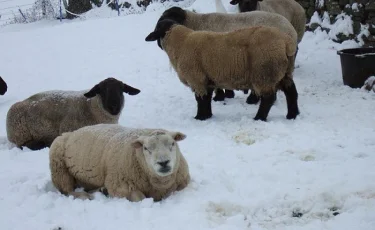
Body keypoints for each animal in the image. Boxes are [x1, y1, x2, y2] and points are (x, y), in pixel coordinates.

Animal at [5, 77, 141, 151]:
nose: (114, 107)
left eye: (121, 89)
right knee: (28, 145)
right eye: (101, 90)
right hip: (21, 136)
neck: (91, 107)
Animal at [49, 124, 191, 201]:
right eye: (146, 148)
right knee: (66, 190)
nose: (163, 162)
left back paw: (101, 190)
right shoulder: (121, 186)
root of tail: (71, 132)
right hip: (59, 168)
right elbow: (140, 198)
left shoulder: (182, 183)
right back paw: (84, 195)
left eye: (172, 143)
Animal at [145, 19, 302, 122]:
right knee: (291, 93)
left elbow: (200, 99)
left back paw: (259, 118)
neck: (180, 43)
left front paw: (199, 118)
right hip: (284, 72)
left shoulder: (197, 79)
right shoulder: (206, 80)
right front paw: (207, 116)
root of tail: (286, 42)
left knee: (269, 98)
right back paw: (292, 115)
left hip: (264, 74)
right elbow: (206, 99)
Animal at [154, 5, 298, 104]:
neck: (195, 23)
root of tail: (291, 33)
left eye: (170, 18)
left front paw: (220, 96)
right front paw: (227, 94)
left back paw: (253, 99)